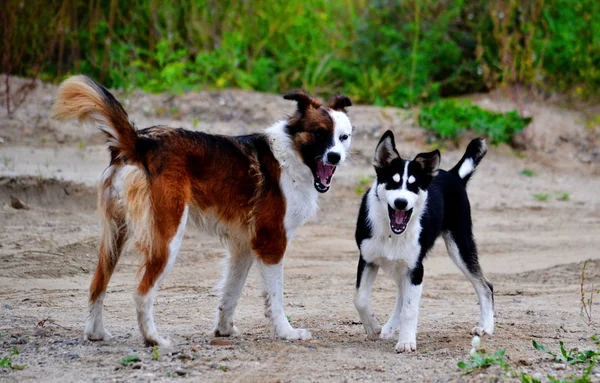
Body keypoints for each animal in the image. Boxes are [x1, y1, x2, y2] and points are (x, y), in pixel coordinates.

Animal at [52, 76, 352, 346]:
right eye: (319, 134)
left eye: (343, 137)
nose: (335, 157)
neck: (290, 156)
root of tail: (142, 142)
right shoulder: (271, 242)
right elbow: (275, 298)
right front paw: (286, 332)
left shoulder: (244, 245)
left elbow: (230, 293)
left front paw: (224, 330)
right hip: (168, 237)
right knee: (141, 291)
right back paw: (153, 339)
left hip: (115, 235)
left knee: (97, 283)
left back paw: (96, 333)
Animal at [354, 131, 494, 354]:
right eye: (393, 182)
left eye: (414, 186)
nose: (401, 202)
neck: (392, 233)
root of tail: (453, 175)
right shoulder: (367, 260)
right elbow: (360, 298)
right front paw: (373, 328)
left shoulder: (416, 269)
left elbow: (410, 309)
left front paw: (406, 342)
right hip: (403, 265)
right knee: (401, 297)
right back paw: (388, 328)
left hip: (460, 246)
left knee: (485, 286)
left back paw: (486, 327)